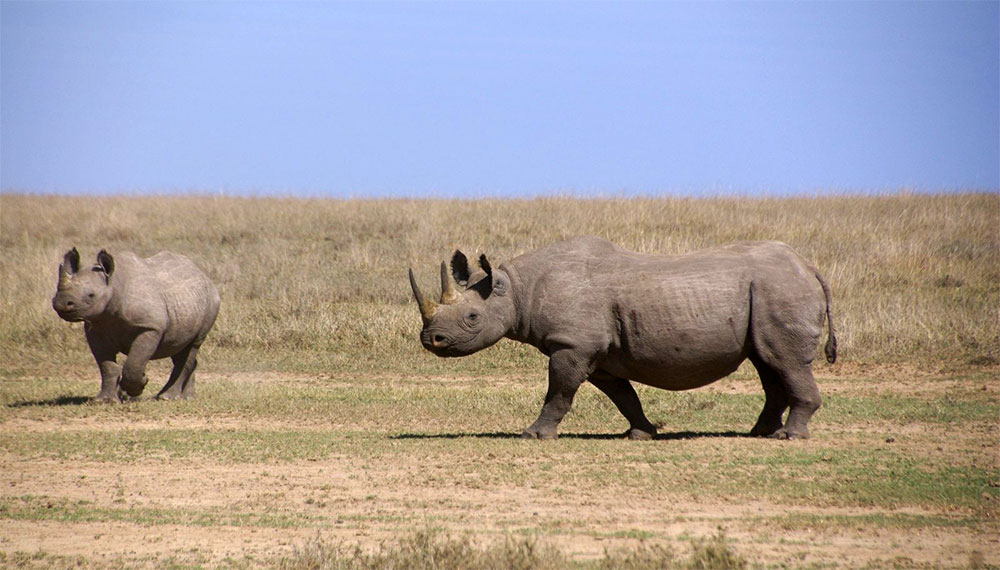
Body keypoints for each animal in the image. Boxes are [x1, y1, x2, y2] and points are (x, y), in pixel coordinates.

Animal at [52, 248, 221, 403]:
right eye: (57, 289)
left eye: (91, 295)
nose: (61, 303)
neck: (114, 285)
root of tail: (203, 275)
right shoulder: (95, 329)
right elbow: (107, 367)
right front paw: (105, 400)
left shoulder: (150, 327)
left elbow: (133, 363)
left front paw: (139, 385)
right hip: (188, 301)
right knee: (179, 347)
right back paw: (187, 398)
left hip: (212, 301)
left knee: (192, 346)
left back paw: (167, 397)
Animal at [409, 237, 836, 440]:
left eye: (472, 318)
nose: (432, 340)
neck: (516, 289)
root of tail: (808, 267)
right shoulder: (596, 350)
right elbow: (622, 396)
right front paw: (641, 434)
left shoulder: (572, 343)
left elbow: (559, 391)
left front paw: (533, 435)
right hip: (767, 294)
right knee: (768, 361)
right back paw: (761, 432)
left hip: (778, 289)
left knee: (785, 360)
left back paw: (789, 437)